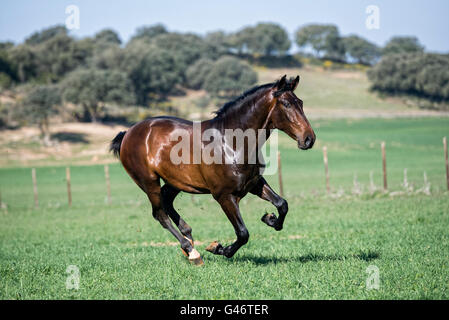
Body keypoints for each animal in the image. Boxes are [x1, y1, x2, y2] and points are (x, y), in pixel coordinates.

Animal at [109, 75, 316, 264]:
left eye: (300, 103)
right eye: (286, 104)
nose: (309, 139)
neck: (232, 143)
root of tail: (127, 133)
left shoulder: (254, 184)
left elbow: (282, 204)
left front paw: (270, 219)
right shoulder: (224, 196)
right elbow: (243, 233)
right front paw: (219, 248)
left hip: (175, 182)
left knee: (167, 203)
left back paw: (188, 237)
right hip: (149, 181)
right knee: (160, 214)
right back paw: (191, 251)